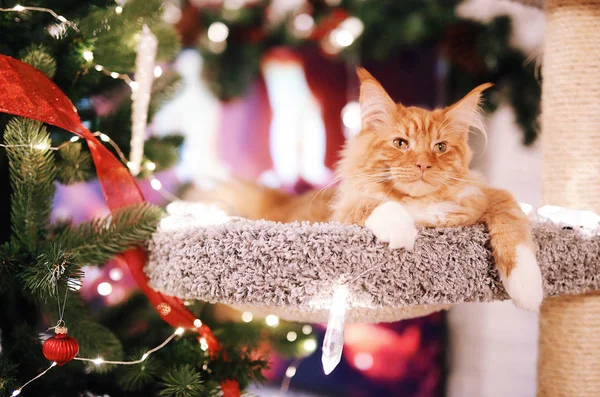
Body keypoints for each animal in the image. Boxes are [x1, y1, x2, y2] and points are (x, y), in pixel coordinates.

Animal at [216, 67, 544, 310]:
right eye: (400, 143)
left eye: (440, 148)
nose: (423, 165)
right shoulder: (342, 212)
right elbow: (375, 204)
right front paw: (401, 227)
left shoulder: (487, 196)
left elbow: (513, 224)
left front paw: (527, 285)